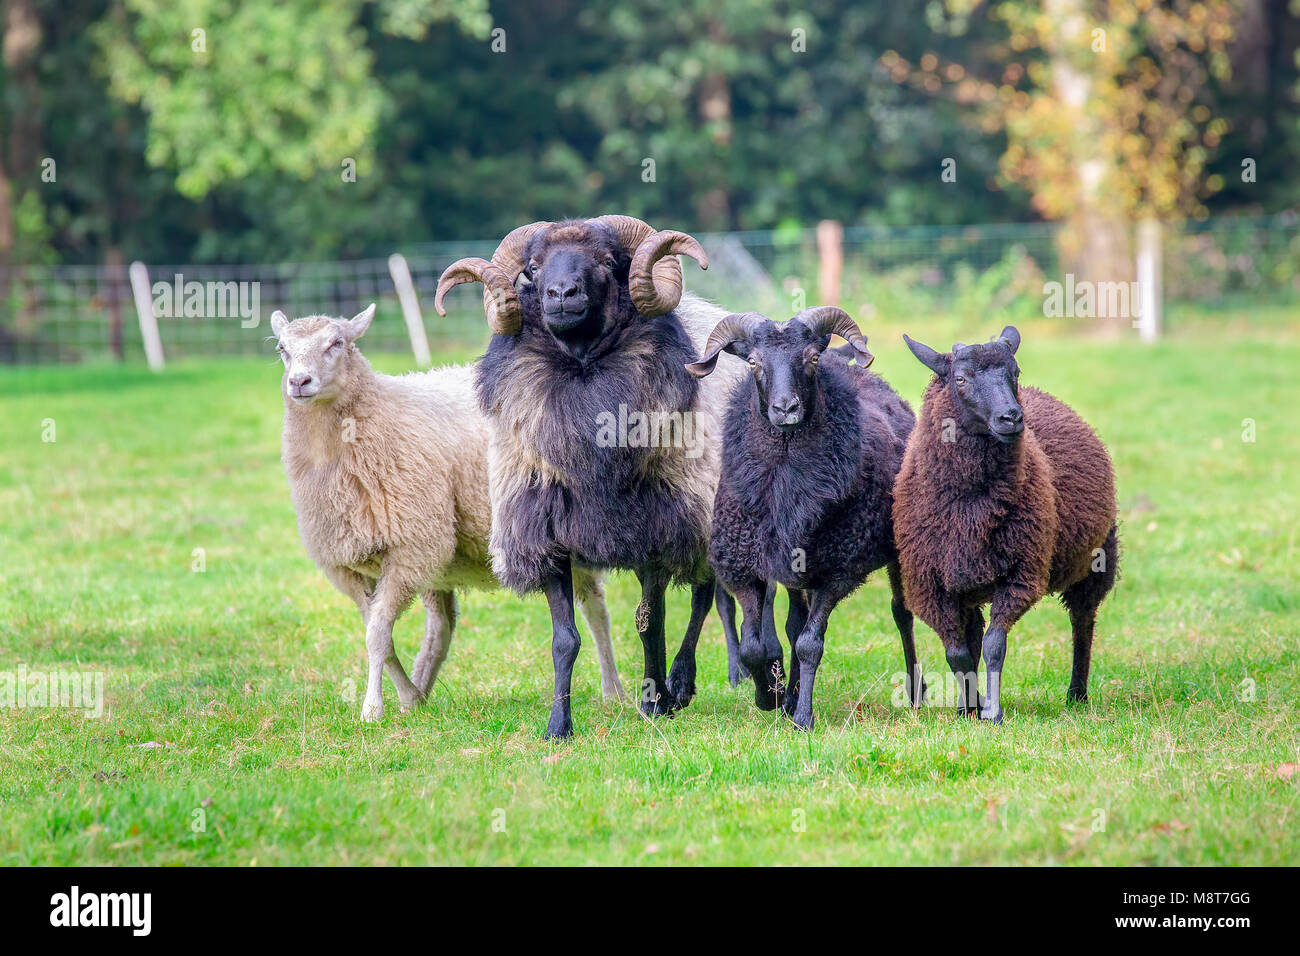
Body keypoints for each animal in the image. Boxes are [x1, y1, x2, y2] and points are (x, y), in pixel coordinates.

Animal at [270, 303, 624, 723]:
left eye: (336, 343)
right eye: (282, 349)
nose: (299, 382)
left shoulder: (410, 547)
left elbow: (377, 635)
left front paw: (372, 709)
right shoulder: (348, 566)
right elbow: (381, 635)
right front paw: (406, 698)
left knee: (596, 609)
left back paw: (613, 690)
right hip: (441, 560)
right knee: (441, 628)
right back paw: (421, 690)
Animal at [434, 218, 748, 738]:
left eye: (607, 261)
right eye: (533, 267)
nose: (561, 293)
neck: (582, 372)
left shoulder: (656, 528)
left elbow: (651, 622)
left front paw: (655, 701)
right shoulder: (547, 534)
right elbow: (564, 639)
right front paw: (557, 725)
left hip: (702, 512)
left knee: (706, 597)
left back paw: (684, 683)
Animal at [681, 306, 925, 733]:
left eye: (811, 359)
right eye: (752, 361)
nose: (785, 409)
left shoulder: (836, 569)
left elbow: (811, 644)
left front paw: (803, 718)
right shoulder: (745, 565)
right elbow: (754, 645)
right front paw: (770, 695)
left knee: (901, 613)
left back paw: (913, 692)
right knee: (794, 621)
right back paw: (788, 693)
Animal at [894, 325, 1118, 723]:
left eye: (1015, 372)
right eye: (961, 378)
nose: (1011, 418)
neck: (968, 507)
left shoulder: (1019, 575)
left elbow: (995, 645)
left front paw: (992, 713)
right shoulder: (930, 586)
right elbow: (958, 653)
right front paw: (969, 709)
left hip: (1098, 558)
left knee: (1083, 622)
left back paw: (1077, 693)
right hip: (966, 582)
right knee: (972, 636)